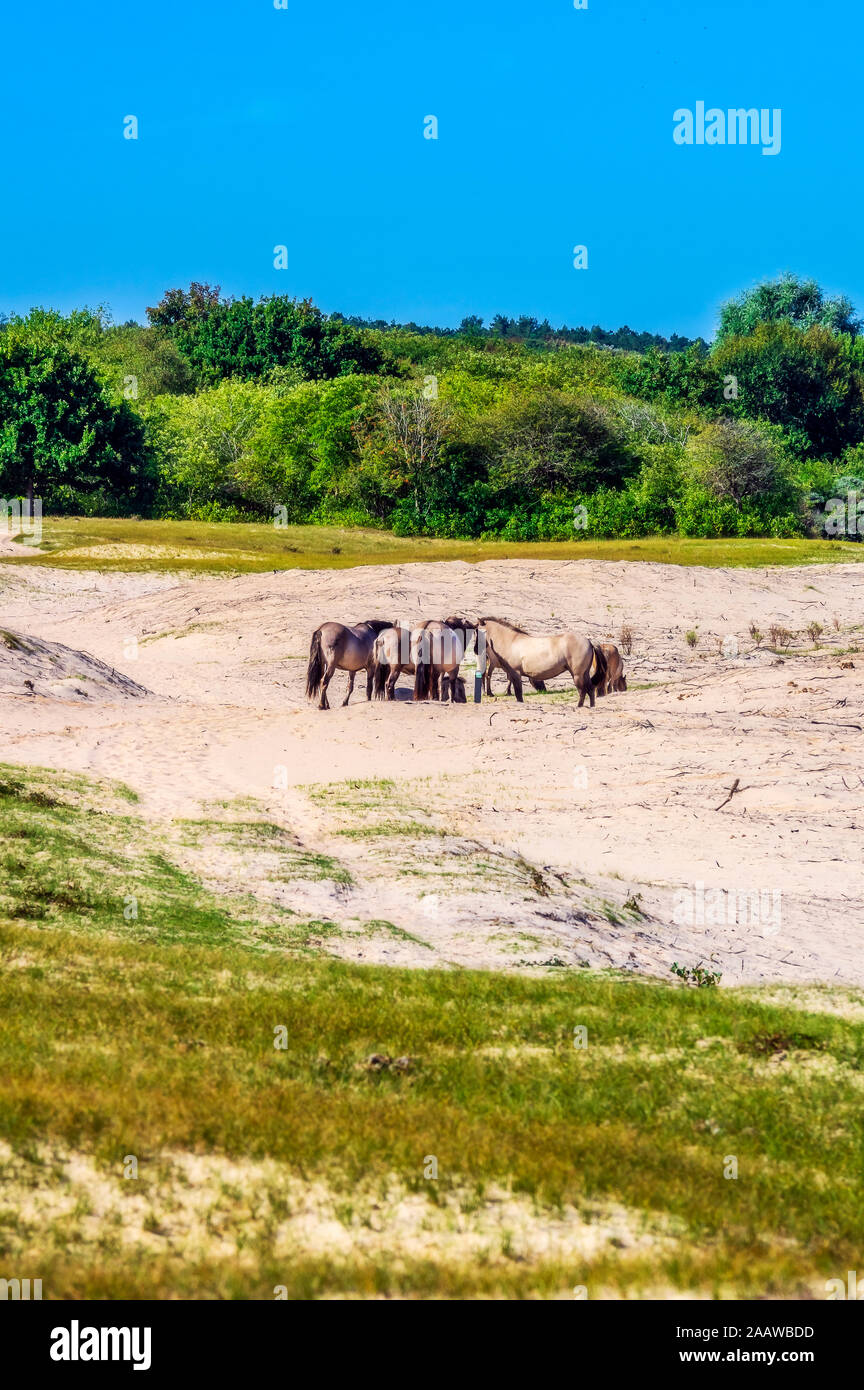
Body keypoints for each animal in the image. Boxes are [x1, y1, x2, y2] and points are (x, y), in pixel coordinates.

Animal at [480, 617, 608, 706]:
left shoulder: (515, 673)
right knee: (590, 689)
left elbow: (518, 694)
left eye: (476, 629)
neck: (511, 641)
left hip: (578, 675)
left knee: (582, 691)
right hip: (584, 674)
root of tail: (590, 642)